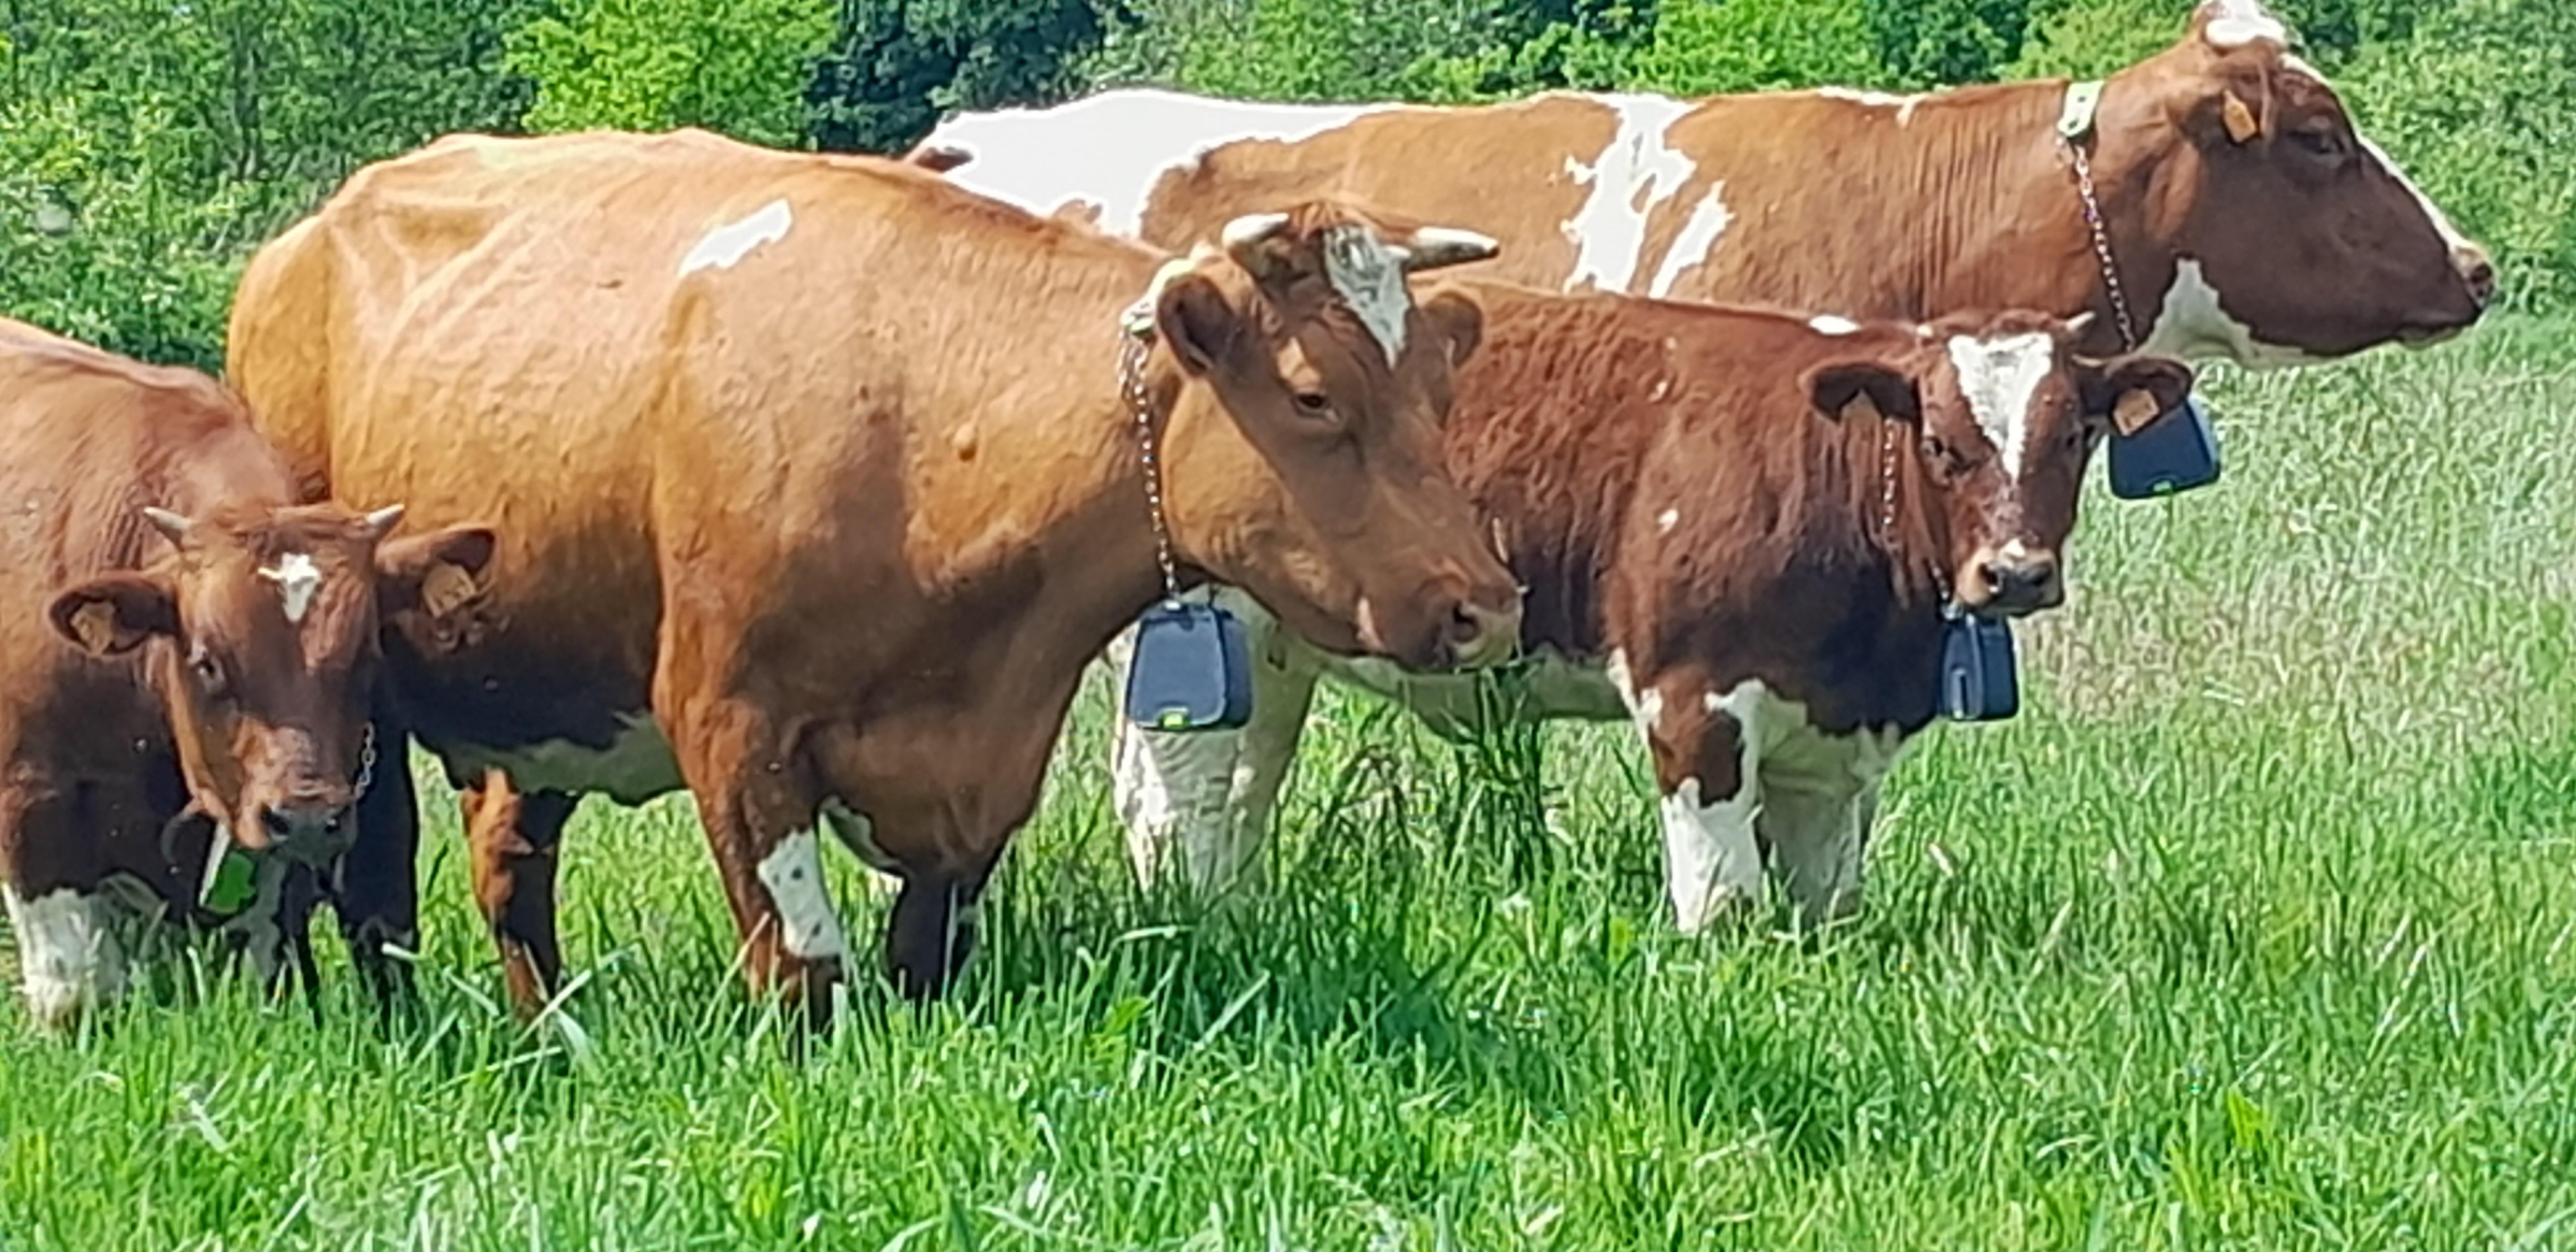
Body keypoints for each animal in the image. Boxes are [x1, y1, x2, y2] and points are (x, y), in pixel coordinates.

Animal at [227, 125, 1525, 1015]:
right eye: (1312, 395)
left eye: (1439, 382)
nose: (1482, 604)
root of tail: (300, 239)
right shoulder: (731, 725)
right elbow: (806, 966)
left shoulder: (985, 767)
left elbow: (921, 955)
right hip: (348, 697)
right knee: (376, 879)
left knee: (508, 866)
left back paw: (551, 1029)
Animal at [1097, 289, 2184, 922]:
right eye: (1942, 443)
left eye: (2076, 435)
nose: (2014, 573)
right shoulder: (1694, 696)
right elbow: (1723, 900)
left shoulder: (1836, 745)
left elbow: (1826, 898)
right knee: (1174, 800)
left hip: (1272, 657)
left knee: (1240, 791)